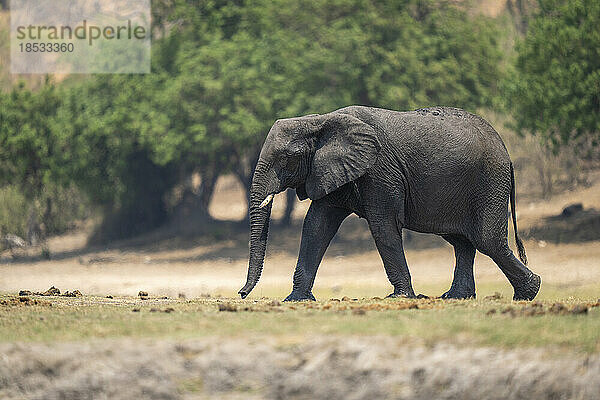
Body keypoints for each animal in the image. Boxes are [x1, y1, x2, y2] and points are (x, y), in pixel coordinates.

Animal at [237, 105, 540, 300]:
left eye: (288, 157)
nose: (240, 294)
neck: (321, 120)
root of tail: (507, 153)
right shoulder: (331, 169)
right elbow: (316, 226)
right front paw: (296, 300)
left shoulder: (379, 170)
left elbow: (383, 226)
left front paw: (401, 297)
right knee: (462, 242)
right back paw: (455, 297)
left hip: (489, 182)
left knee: (487, 240)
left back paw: (529, 292)